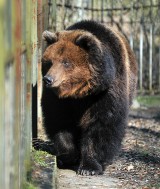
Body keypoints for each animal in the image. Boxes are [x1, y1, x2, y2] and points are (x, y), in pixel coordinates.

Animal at [38, 20, 136, 176]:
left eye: (66, 62)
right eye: (49, 61)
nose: (48, 79)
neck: (80, 93)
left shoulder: (105, 93)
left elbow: (101, 124)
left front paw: (89, 167)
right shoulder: (59, 100)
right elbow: (60, 121)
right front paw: (68, 157)